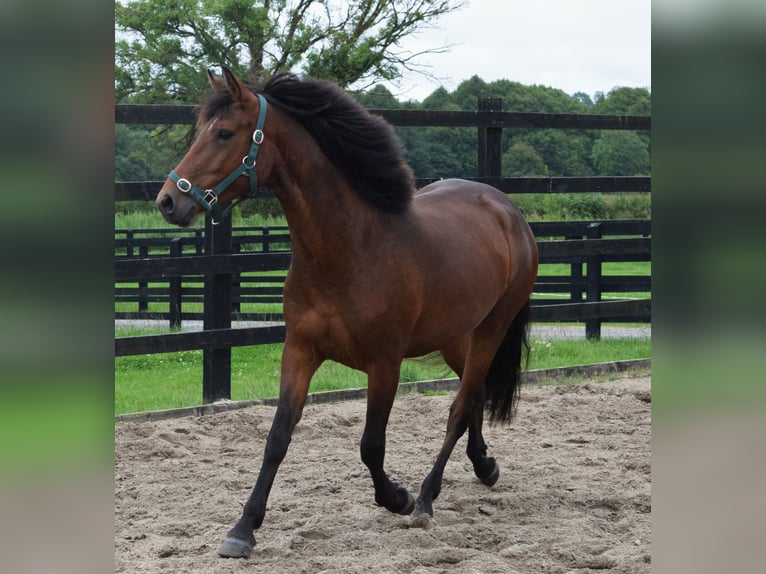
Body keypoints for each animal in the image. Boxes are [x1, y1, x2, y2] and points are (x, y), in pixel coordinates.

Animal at [156, 66, 540, 560]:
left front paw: (398, 497)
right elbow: (277, 438)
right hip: (457, 336)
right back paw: (484, 465)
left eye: (223, 133)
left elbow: (371, 446)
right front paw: (243, 529)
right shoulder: (300, 351)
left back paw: (427, 498)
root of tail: (506, 209)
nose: (168, 201)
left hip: (492, 328)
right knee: (472, 397)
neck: (348, 248)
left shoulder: (385, 363)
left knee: (460, 406)